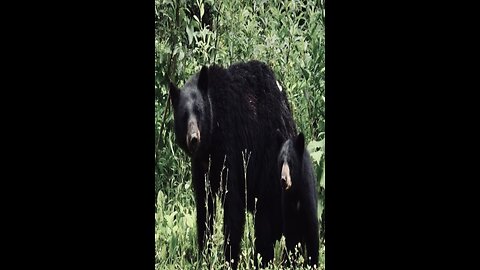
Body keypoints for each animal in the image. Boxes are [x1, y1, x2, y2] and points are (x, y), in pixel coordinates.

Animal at [169, 60, 296, 268]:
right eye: (183, 115)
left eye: (199, 111)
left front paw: (229, 259)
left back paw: (266, 258)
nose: (193, 138)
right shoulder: (201, 166)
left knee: (267, 222)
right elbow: (204, 207)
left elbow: (233, 206)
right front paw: (203, 256)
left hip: (270, 168)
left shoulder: (231, 149)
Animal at [278, 132, 318, 266]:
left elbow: (312, 230)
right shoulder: (287, 203)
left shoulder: (307, 194)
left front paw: (313, 262)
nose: (283, 180)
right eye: (281, 162)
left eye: (290, 162)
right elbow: (290, 234)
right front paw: (289, 261)